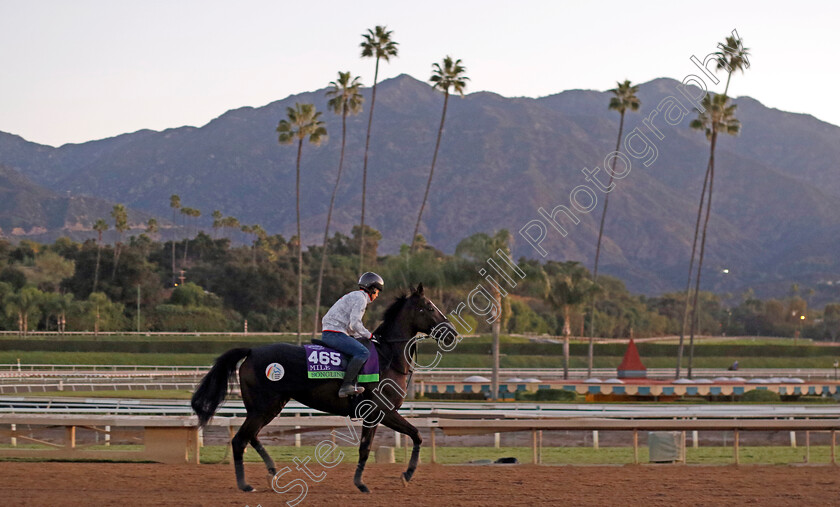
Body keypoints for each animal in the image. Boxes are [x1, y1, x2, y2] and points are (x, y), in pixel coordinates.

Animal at [191, 288, 456, 494]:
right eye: (429, 307)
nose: (451, 333)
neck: (387, 357)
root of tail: (252, 351)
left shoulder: (377, 414)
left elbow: (399, 439)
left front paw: (384, 479)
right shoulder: (381, 412)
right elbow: (397, 440)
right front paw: (394, 477)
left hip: (269, 406)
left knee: (251, 436)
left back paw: (272, 472)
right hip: (263, 407)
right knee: (240, 440)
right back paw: (245, 484)